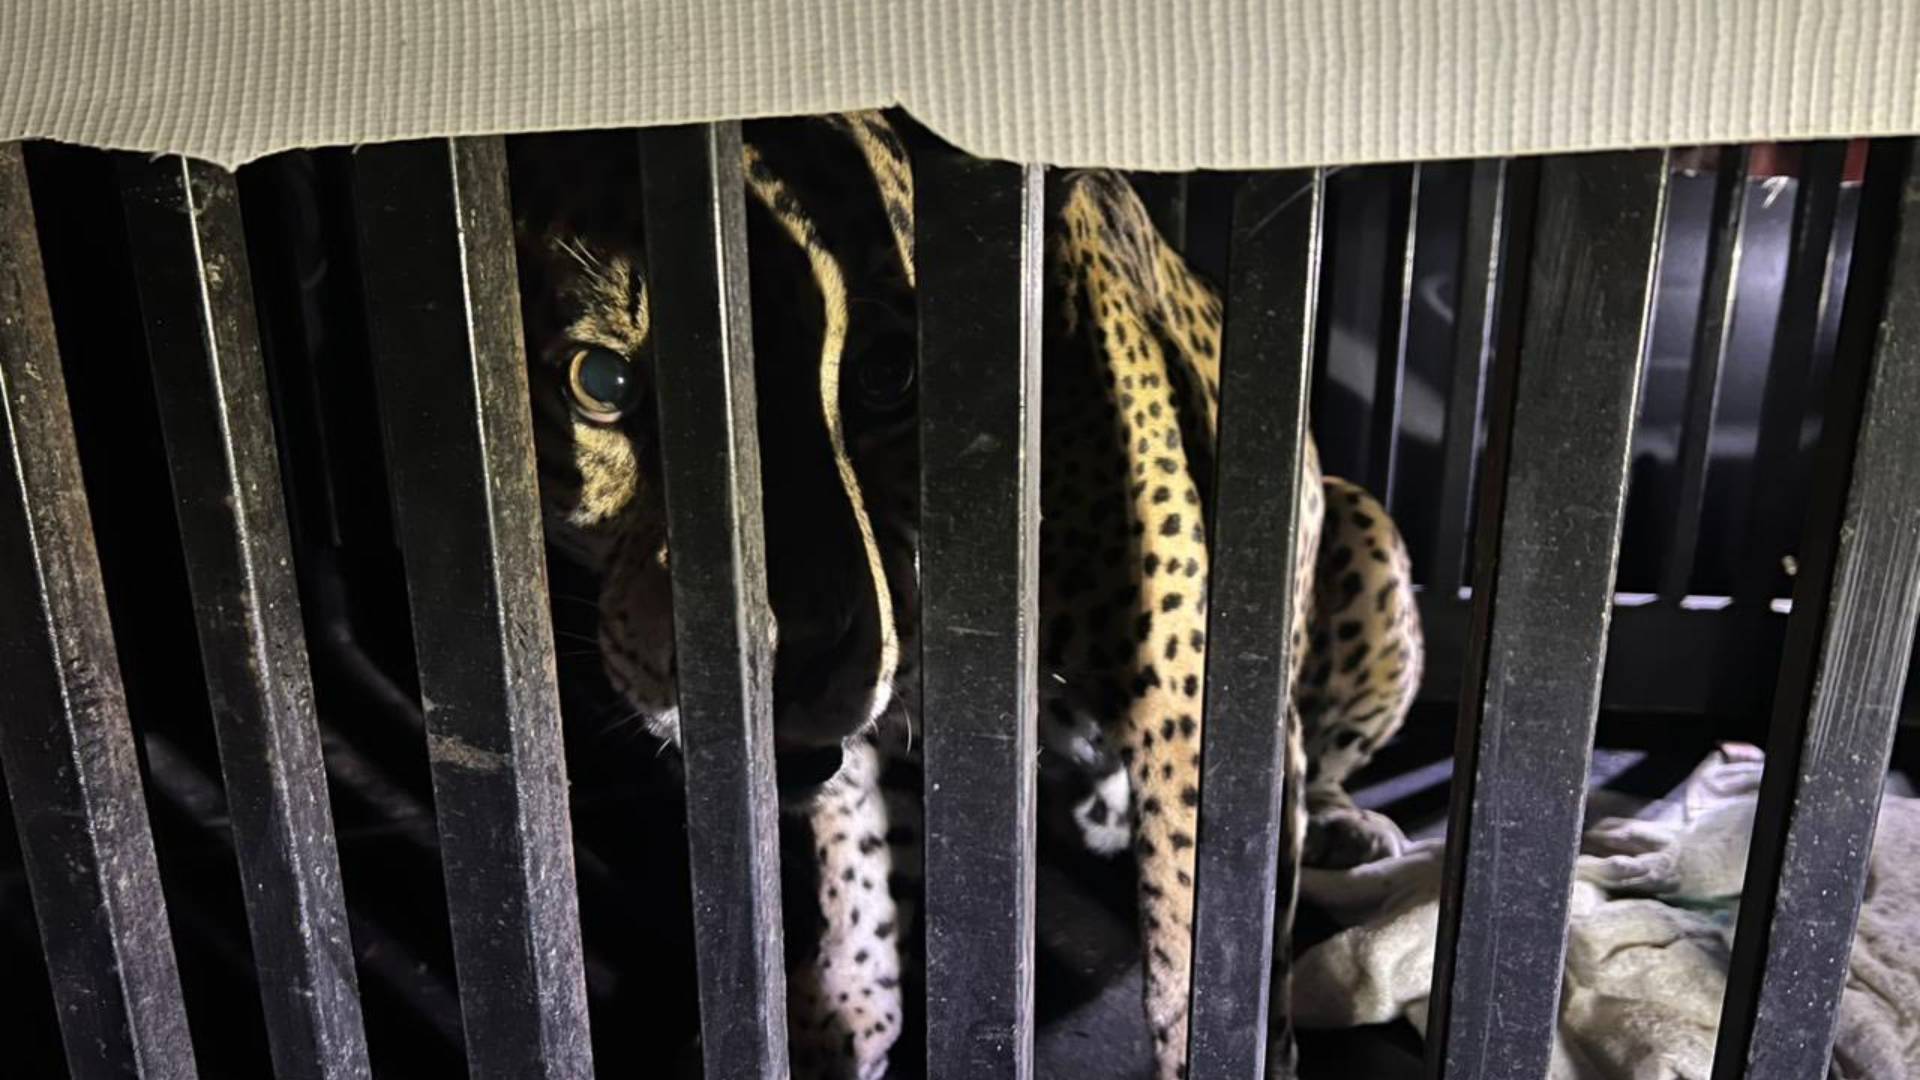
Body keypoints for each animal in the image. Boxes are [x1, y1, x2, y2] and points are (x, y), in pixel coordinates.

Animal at [508, 111, 1423, 1080]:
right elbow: (859, 843)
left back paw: (1348, 828)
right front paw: (847, 1006)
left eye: (889, 376)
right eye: (602, 383)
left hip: (1368, 531)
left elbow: (1203, 945)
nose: (785, 659)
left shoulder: (1193, 710)